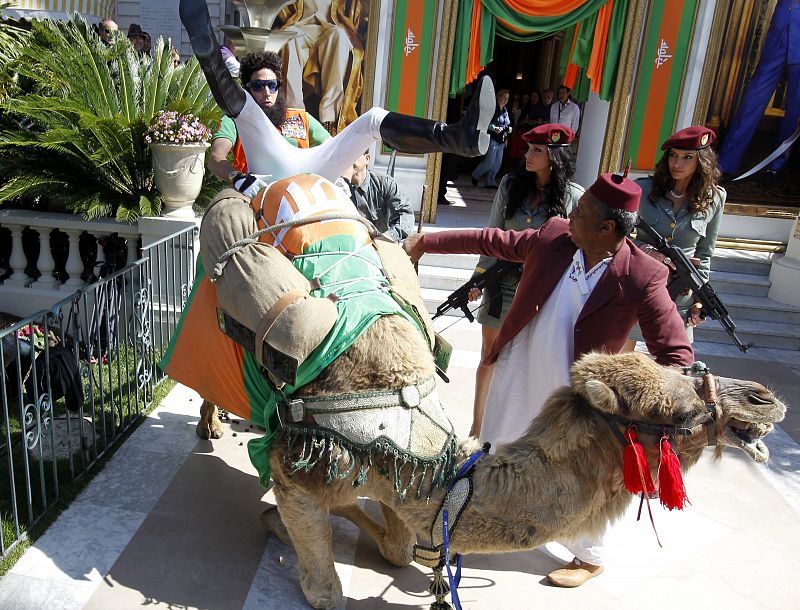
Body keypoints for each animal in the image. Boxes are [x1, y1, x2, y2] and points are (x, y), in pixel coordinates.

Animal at [256, 312, 788, 604]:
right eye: (679, 409)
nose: (764, 398)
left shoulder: (400, 482)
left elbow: (399, 545)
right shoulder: (302, 462)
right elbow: (324, 579)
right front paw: (290, 540)